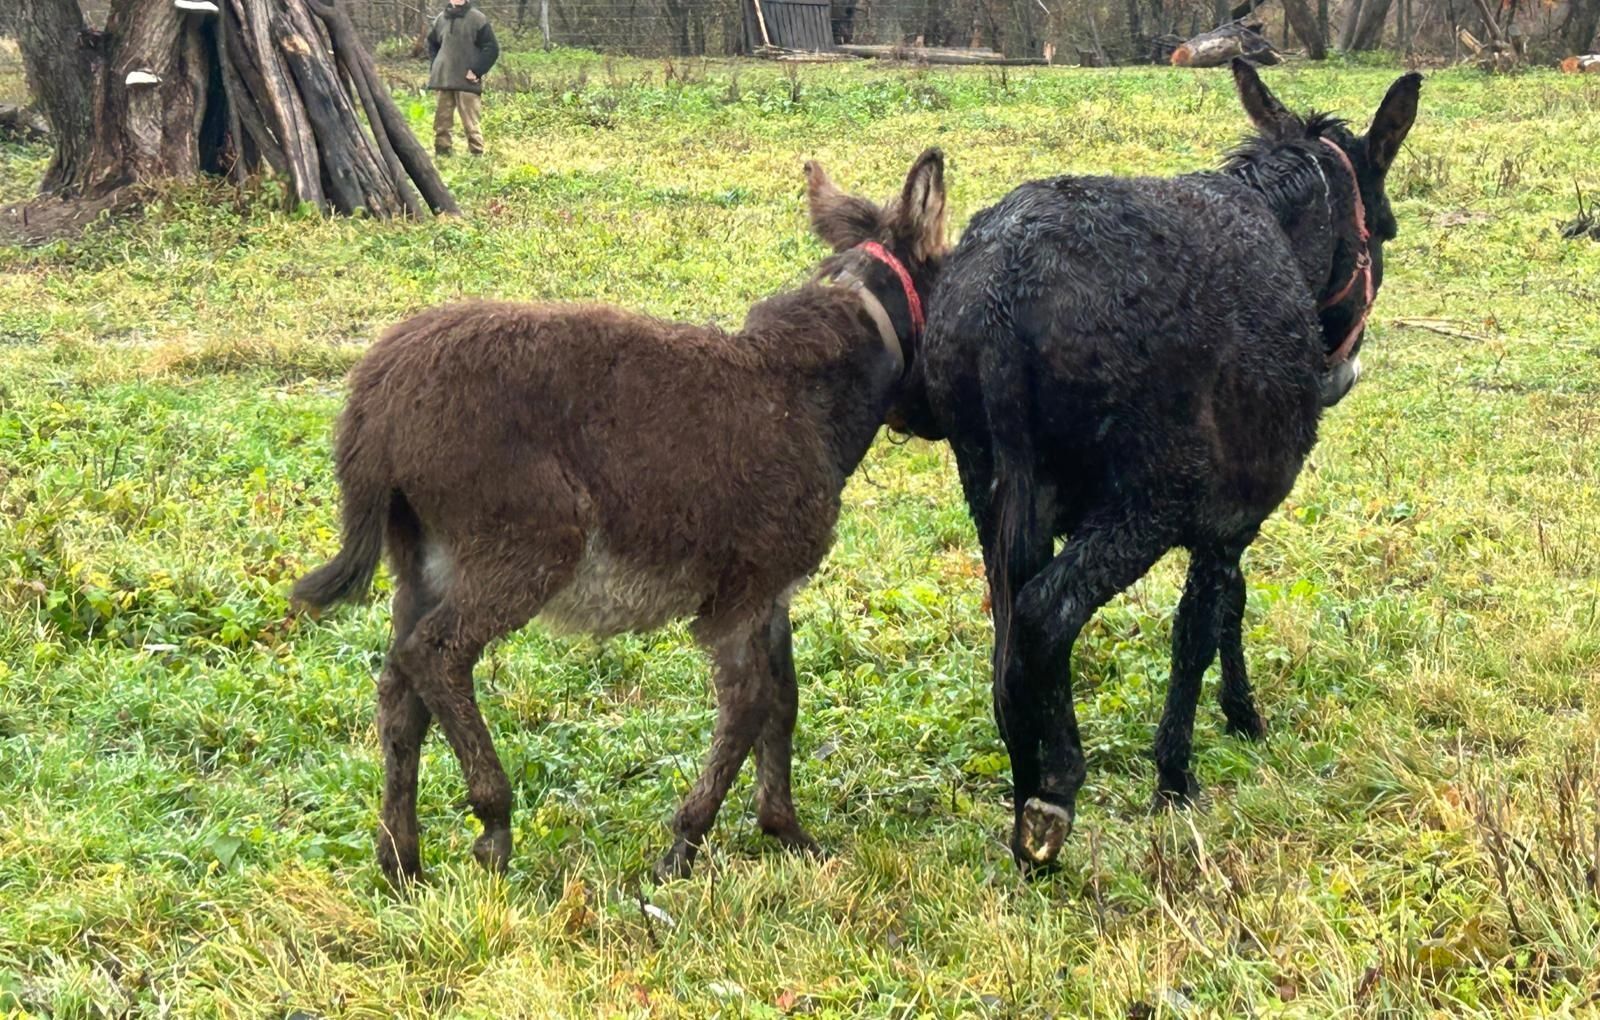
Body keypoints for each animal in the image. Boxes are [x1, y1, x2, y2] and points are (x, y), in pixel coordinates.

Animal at [292, 151, 940, 888]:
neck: (808, 394)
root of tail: (378, 393)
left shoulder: (771, 591)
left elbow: (783, 699)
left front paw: (785, 830)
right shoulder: (742, 595)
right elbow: (748, 706)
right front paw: (684, 846)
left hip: (424, 562)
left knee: (399, 692)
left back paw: (401, 860)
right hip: (530, 548)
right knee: (436, 655)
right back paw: (493, 820)